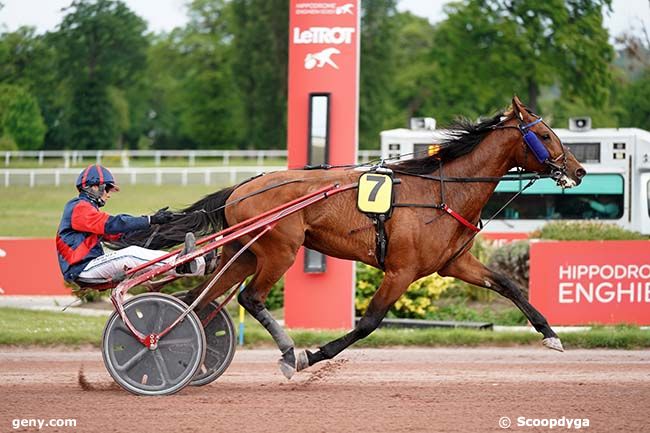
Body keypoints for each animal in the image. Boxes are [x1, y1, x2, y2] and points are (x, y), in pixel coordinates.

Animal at [120, 96, 584, 376]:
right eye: (545, 135)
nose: (578, 170)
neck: (442, 191)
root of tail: (242, 187)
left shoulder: (455, 263)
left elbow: (508, 285)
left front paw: (551, 335)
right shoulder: (401, 271)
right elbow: (369, 322)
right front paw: (313, 355)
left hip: (246, 251)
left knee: (197, 300)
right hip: (280, 250)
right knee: (249, 299)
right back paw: (287, 352)